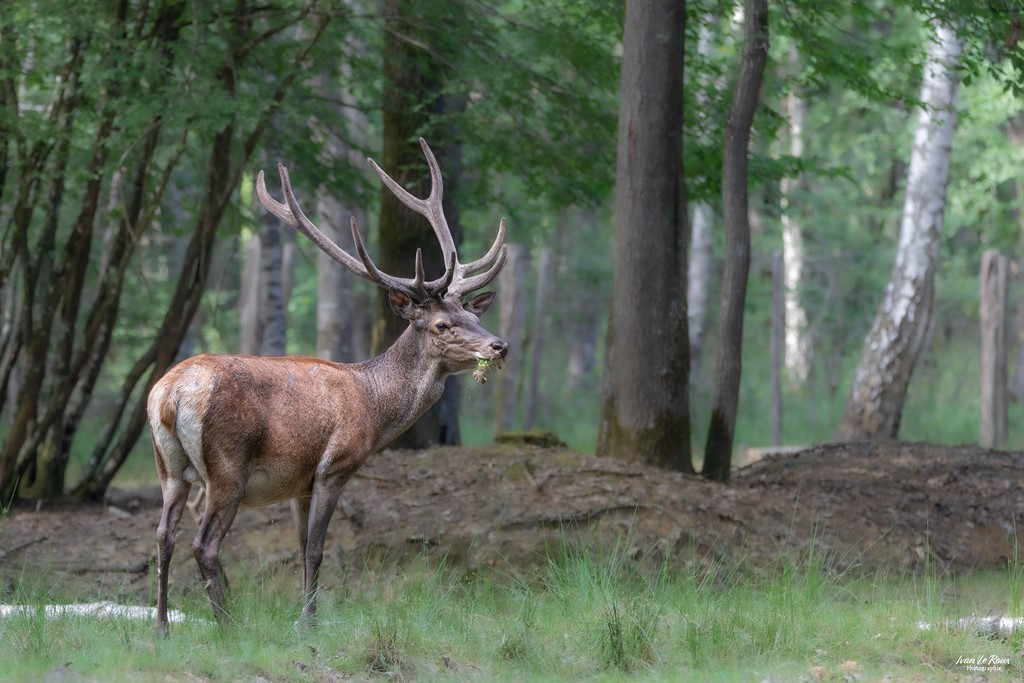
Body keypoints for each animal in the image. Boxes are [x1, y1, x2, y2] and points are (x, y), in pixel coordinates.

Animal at [147, 138, 508, 633]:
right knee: (204, 543)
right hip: (227, 466)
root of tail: (170, 394)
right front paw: (309, 624)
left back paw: (162, 627)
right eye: (442, 324)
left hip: (168, 466)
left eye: (474, 315)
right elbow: (318, 551)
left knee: (163, 535)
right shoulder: (334, 465)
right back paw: (226, 626)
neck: (374, 405)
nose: (499, 345)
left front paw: (306, 618)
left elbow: (301, 550)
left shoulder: (298, 483)